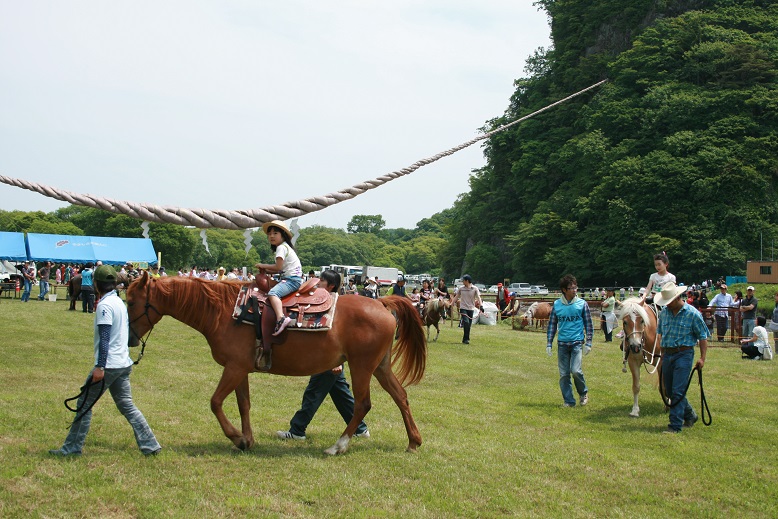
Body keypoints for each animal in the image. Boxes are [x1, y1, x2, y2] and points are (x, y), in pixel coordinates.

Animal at [129, 274, 430, 458]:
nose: (130, 339)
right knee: (401, 396)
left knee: (363, 404)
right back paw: (413, 441)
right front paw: (247, 440)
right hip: (380, 367)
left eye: (131, 301)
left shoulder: (233, 368)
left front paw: (236, 438)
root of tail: (381, 303)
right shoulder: (240, 369)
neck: (224, 312)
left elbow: (215, 402)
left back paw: (338, 446)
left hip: (361, 367)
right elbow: (244, 404)